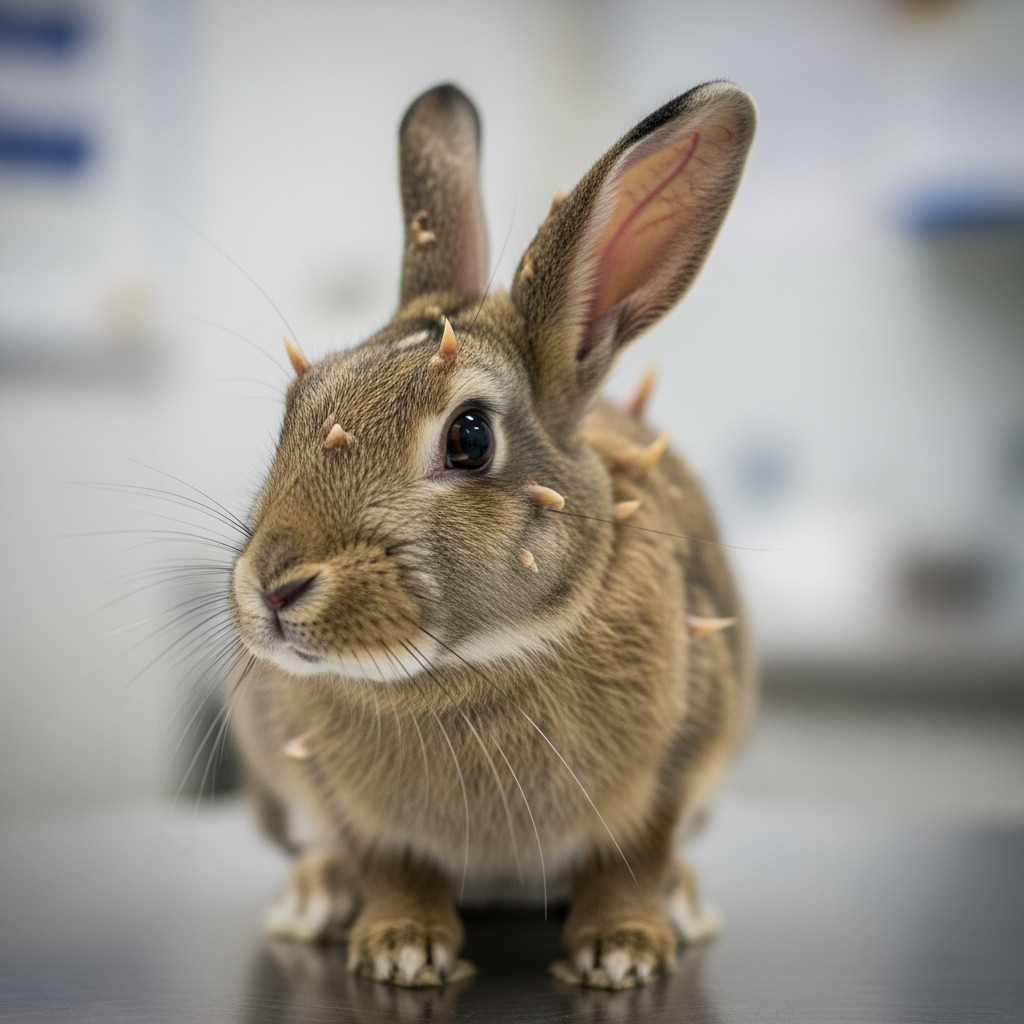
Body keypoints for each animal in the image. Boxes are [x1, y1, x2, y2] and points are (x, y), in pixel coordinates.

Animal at [227, 80, 757, 990]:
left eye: (469, 437)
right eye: (298, 405)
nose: (274, 588)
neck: (468, 668)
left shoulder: (678, 761)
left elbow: (634, 858)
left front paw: (623, 952)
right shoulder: (341, 796)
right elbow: (387, 861)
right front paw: (401, 949)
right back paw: (316, 898)